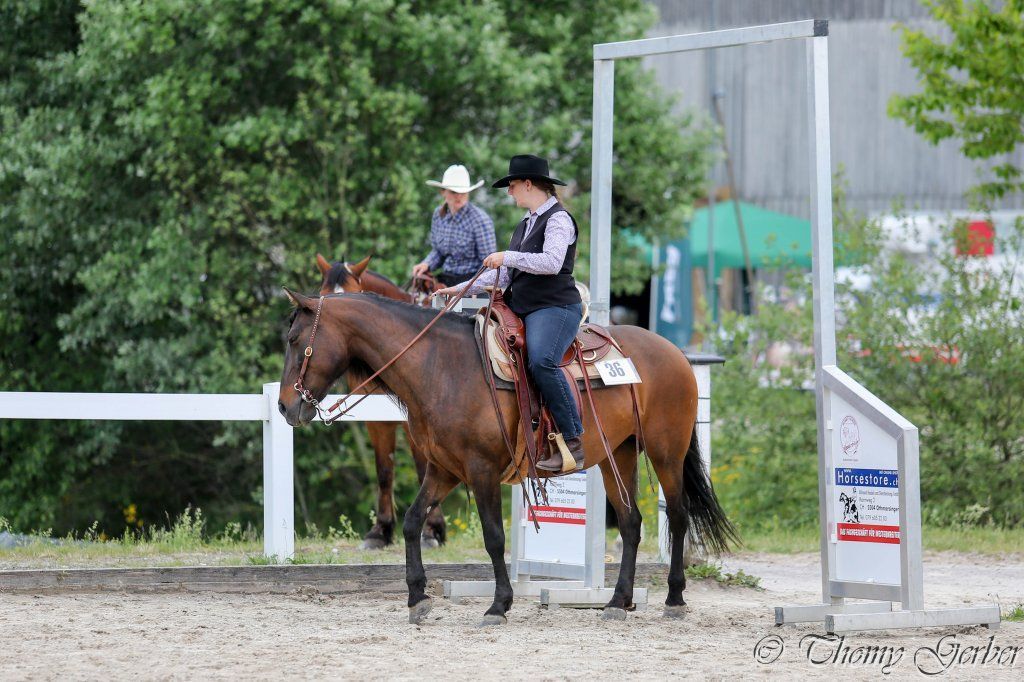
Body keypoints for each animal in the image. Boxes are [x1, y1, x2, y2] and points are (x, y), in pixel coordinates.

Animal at [277, 290, 736, 625]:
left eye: (295, 341)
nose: (284, 407)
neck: (442, 368)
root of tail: (676, 354)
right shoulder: (444, 470)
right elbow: (412, 522)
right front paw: (417, 597)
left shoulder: (481, 470)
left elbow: (494, 537)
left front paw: (499, 604)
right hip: (616, 455)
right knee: (630, 522)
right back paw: (617, 602)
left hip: (666, 451)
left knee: (678, 516)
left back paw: (674, 599)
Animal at [313, 253, 446, 548]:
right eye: (323, 296)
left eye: (353, 297)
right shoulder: (377, 421)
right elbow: (384, 470)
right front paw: (381, 531)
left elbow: (424, 469)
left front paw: (432, 531)